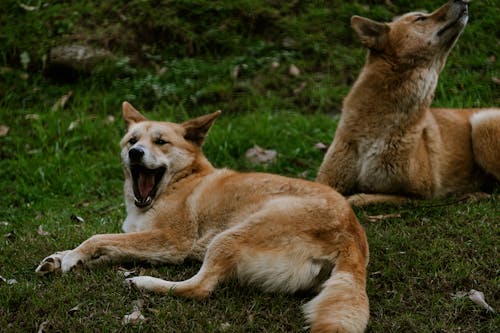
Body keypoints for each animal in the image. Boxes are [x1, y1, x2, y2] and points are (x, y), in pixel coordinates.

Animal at [318, 0, 498, 205]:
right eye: (420, 18)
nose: (465, 1)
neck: (375, 131)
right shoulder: (327, 180)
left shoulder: (420, 195)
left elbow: (363, 197)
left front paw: (356, 197)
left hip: (482, 124)